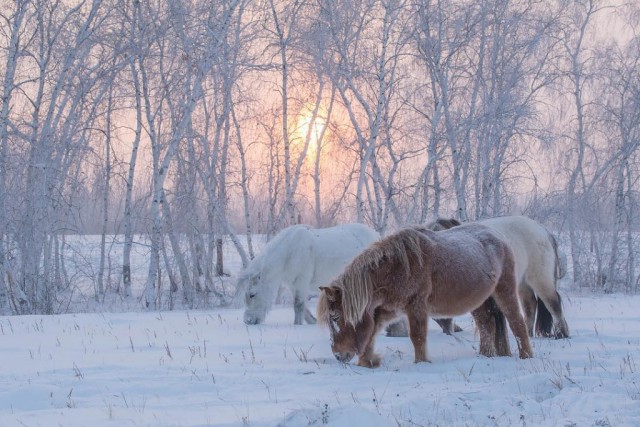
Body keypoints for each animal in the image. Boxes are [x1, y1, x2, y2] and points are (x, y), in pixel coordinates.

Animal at [240, 224, 380, 324]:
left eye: (252, 294)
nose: (248, 321)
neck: (289, 252)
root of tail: (376, 235)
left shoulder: (302, 281)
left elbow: (298, 305)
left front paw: (297, 325)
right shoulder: (293, 285)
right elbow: (302, 306)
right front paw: (311, 320)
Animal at [318, 224, 532, 368]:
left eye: (335, 317)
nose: (338, 355)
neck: (397, 267)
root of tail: (498, 236)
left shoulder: (416, 305)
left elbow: (417, 336)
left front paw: (421, 363)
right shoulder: (388, 309)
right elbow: (371, 333)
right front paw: (368, 361)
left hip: (505, 291)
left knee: (516, 322)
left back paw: (526, 356)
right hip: (479, 301)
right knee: (487, 324)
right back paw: (486, 356)